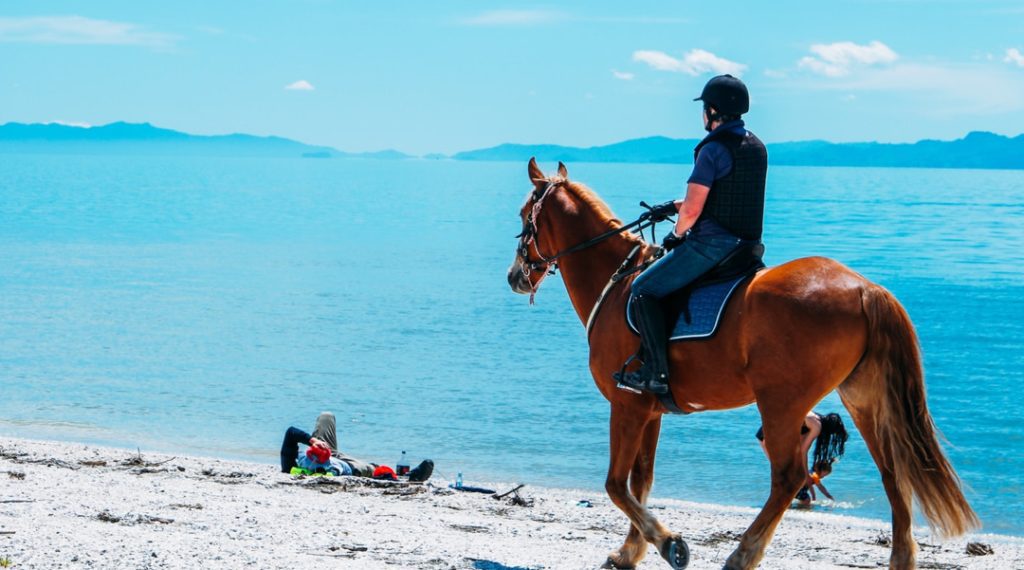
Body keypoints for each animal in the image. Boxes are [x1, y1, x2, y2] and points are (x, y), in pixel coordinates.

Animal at [503, 156, 974, 568]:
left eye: (525, 215)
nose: (514, 276)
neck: (618, 285)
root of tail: (864, 288)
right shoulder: (649, 412)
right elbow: (641, 481)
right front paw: (631, 552)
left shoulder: (627, 406)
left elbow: (616, 485)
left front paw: (669, 543)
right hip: (863, 400)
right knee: (892, 473)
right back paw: (901, 558)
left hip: (782, 403)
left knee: (789, 477)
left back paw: (743, 554)